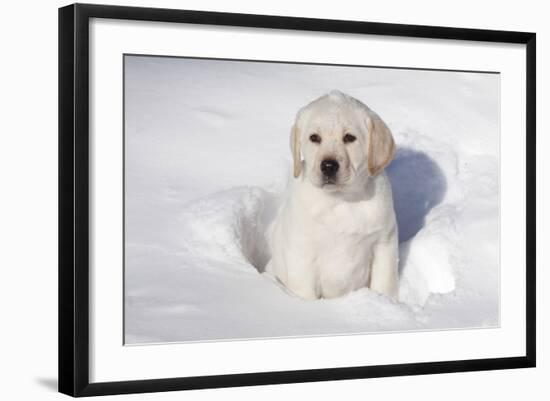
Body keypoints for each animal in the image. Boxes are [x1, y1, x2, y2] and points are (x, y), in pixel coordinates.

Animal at [266, 90, 398, 296]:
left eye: (349, 138)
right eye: (314, 138)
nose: (328, 166)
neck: (341, 199)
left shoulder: (384, 243)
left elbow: (384, 284)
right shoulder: (302, 252)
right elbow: (305, 293)